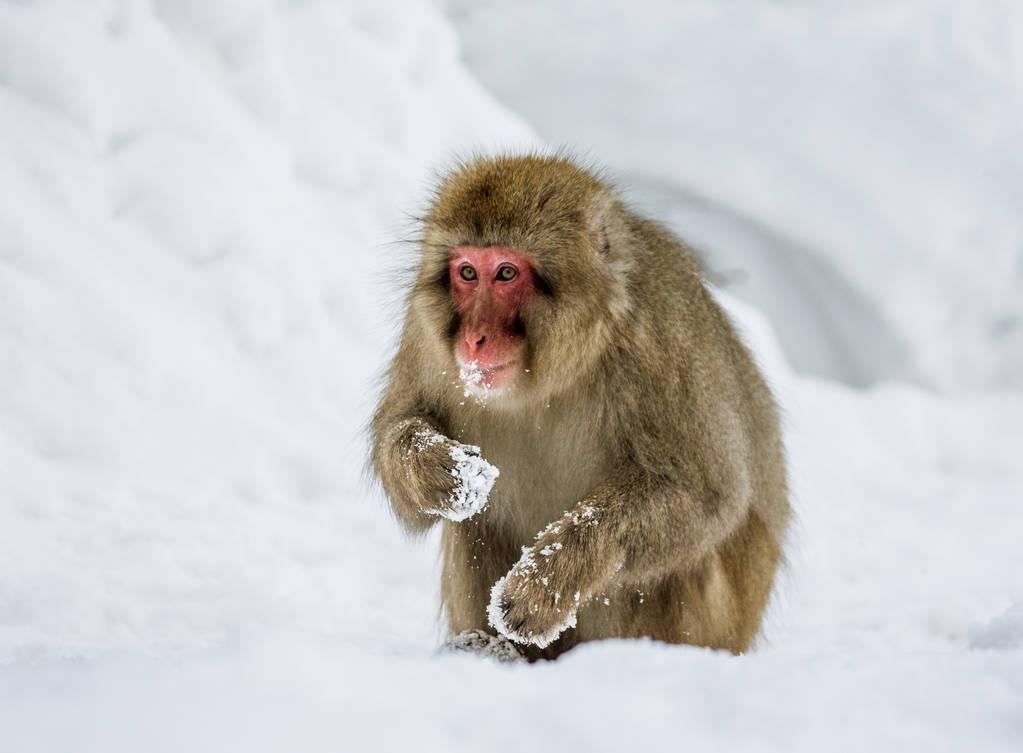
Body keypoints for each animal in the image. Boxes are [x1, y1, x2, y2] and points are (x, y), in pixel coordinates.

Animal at [370, 153, 789, 658]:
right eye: (467, 273)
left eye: (506, 273)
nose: (474, 338)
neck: (548, 377)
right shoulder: (426, 336)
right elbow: (400, 431)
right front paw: (433, 466)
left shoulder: (658, 349)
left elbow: (706, 494)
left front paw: (548, 579)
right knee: (475, 521)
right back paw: (491, 648)